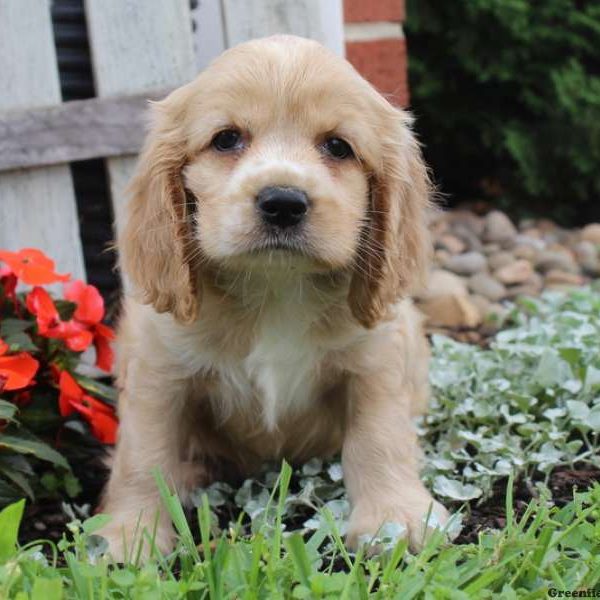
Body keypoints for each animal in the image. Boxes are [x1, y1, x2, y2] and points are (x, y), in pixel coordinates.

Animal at [99, 32, 446, 556]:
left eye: (338, 147)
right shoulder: (158, 372)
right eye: (226, 139)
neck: (275, 286)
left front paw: (395, 519)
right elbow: (145, 454)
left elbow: (380, 435)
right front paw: (129, 535)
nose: (283, 202)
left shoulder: (376, 361)